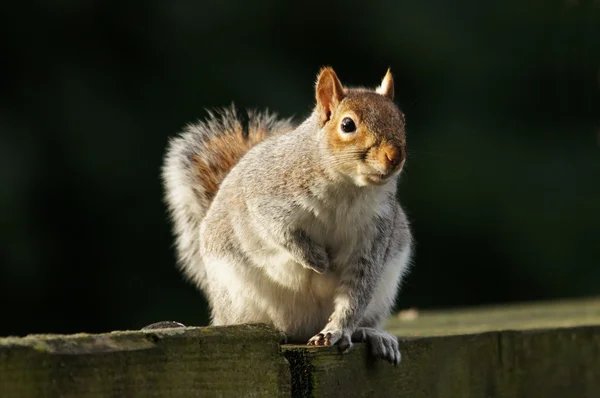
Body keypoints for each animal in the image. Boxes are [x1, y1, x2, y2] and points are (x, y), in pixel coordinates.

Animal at [161, 66, 412, 364]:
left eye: (402, 120)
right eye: (347, 125)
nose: (394, 156)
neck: (349, 187)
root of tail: (302, 328)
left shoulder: (374, 236)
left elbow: (356, 291)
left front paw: (336, 331)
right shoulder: (265, 198)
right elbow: (280, 232)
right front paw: (317, 260)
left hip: (384, 290)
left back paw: (371, 333)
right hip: (236, 295)